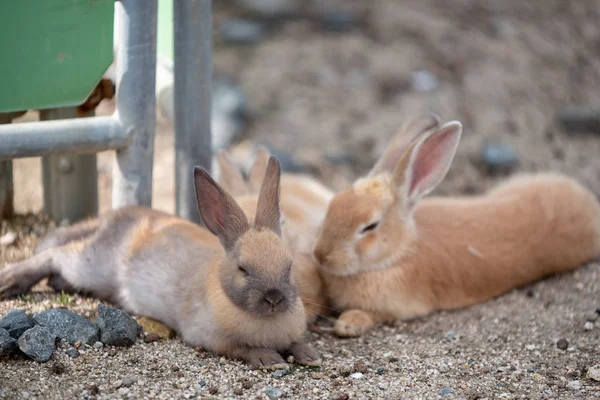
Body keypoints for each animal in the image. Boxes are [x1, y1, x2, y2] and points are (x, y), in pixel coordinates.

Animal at [0, 156, 322, 368]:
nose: (274, 299)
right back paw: (10, 281)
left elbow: (296, 342)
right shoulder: (209, 337)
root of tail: (114, 218)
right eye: (243, 268)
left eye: (289, 266)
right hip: (90, 266)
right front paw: (270, 359)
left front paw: (309, 356)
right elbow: (241, 349)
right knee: (54, 255)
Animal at [312, 115, 600, 338]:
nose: (321, 256)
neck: (401, 252)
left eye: (370, 226)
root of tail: (589, 204)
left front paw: (348, 324)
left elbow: (372, 314)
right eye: (333, 204)